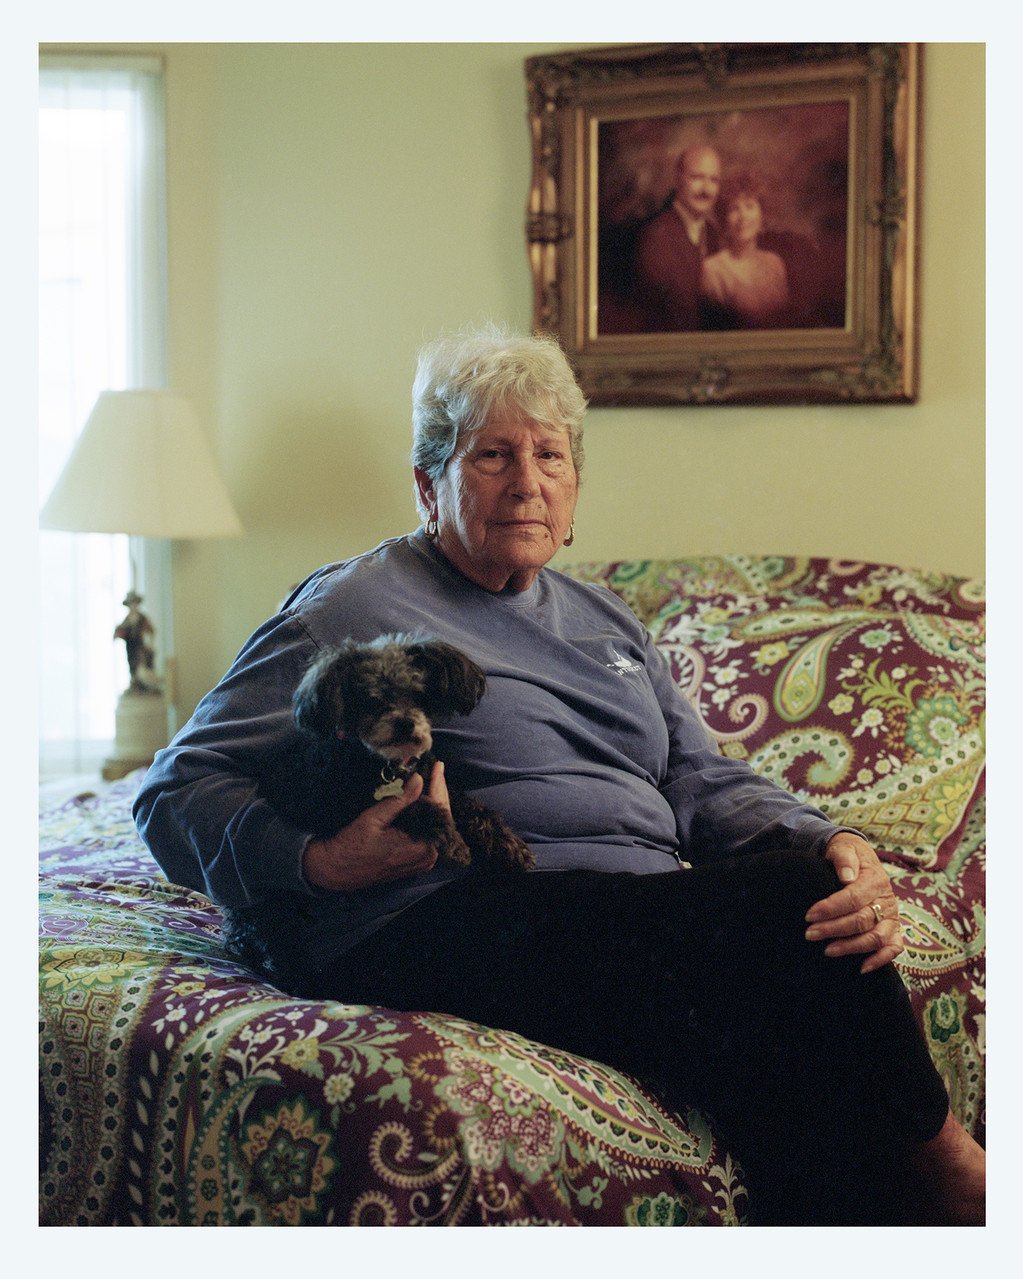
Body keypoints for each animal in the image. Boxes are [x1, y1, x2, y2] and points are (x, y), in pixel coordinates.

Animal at [222, 634, 534, 982]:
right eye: (370, 700)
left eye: (418, 693)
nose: (405, 724)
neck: (388, 765)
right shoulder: (337, 805)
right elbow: (411, 807)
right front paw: (450, 838)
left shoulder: (435, 779)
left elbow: (471, 808)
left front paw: (508, 845)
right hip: (273, 909)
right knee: (267, 939)